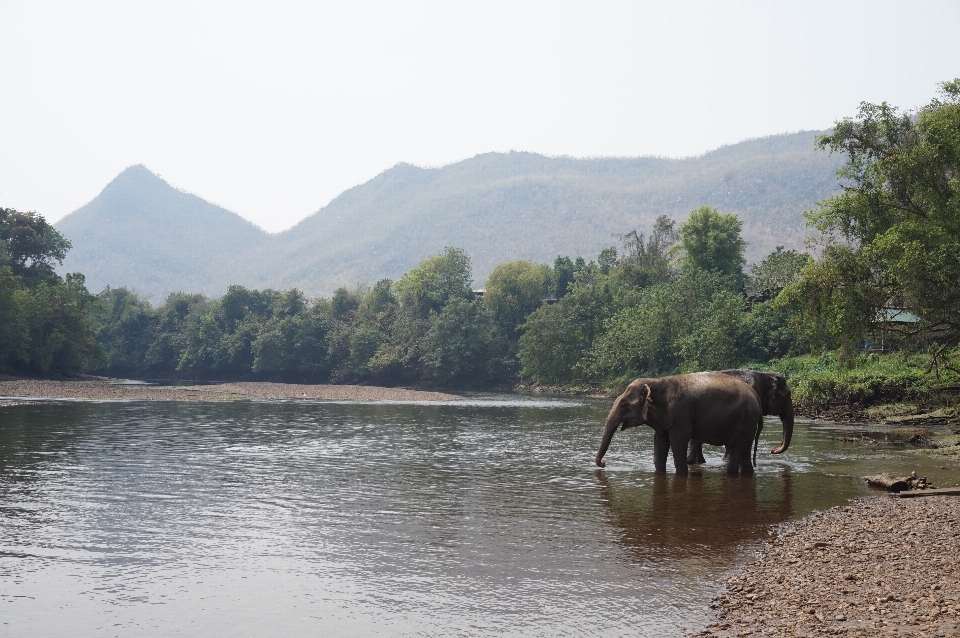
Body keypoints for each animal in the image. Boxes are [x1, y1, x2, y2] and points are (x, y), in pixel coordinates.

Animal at [592, 376, 764, 476]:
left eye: (624, 404)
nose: (604, 464)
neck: (657, 381)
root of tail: (756, 395)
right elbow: (660, 441)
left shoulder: (680, 413)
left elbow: (678, 441)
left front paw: (681, 474)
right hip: (748, 422)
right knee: (745, 449)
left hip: (746, 418)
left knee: (738, 448)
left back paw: (731, 473)